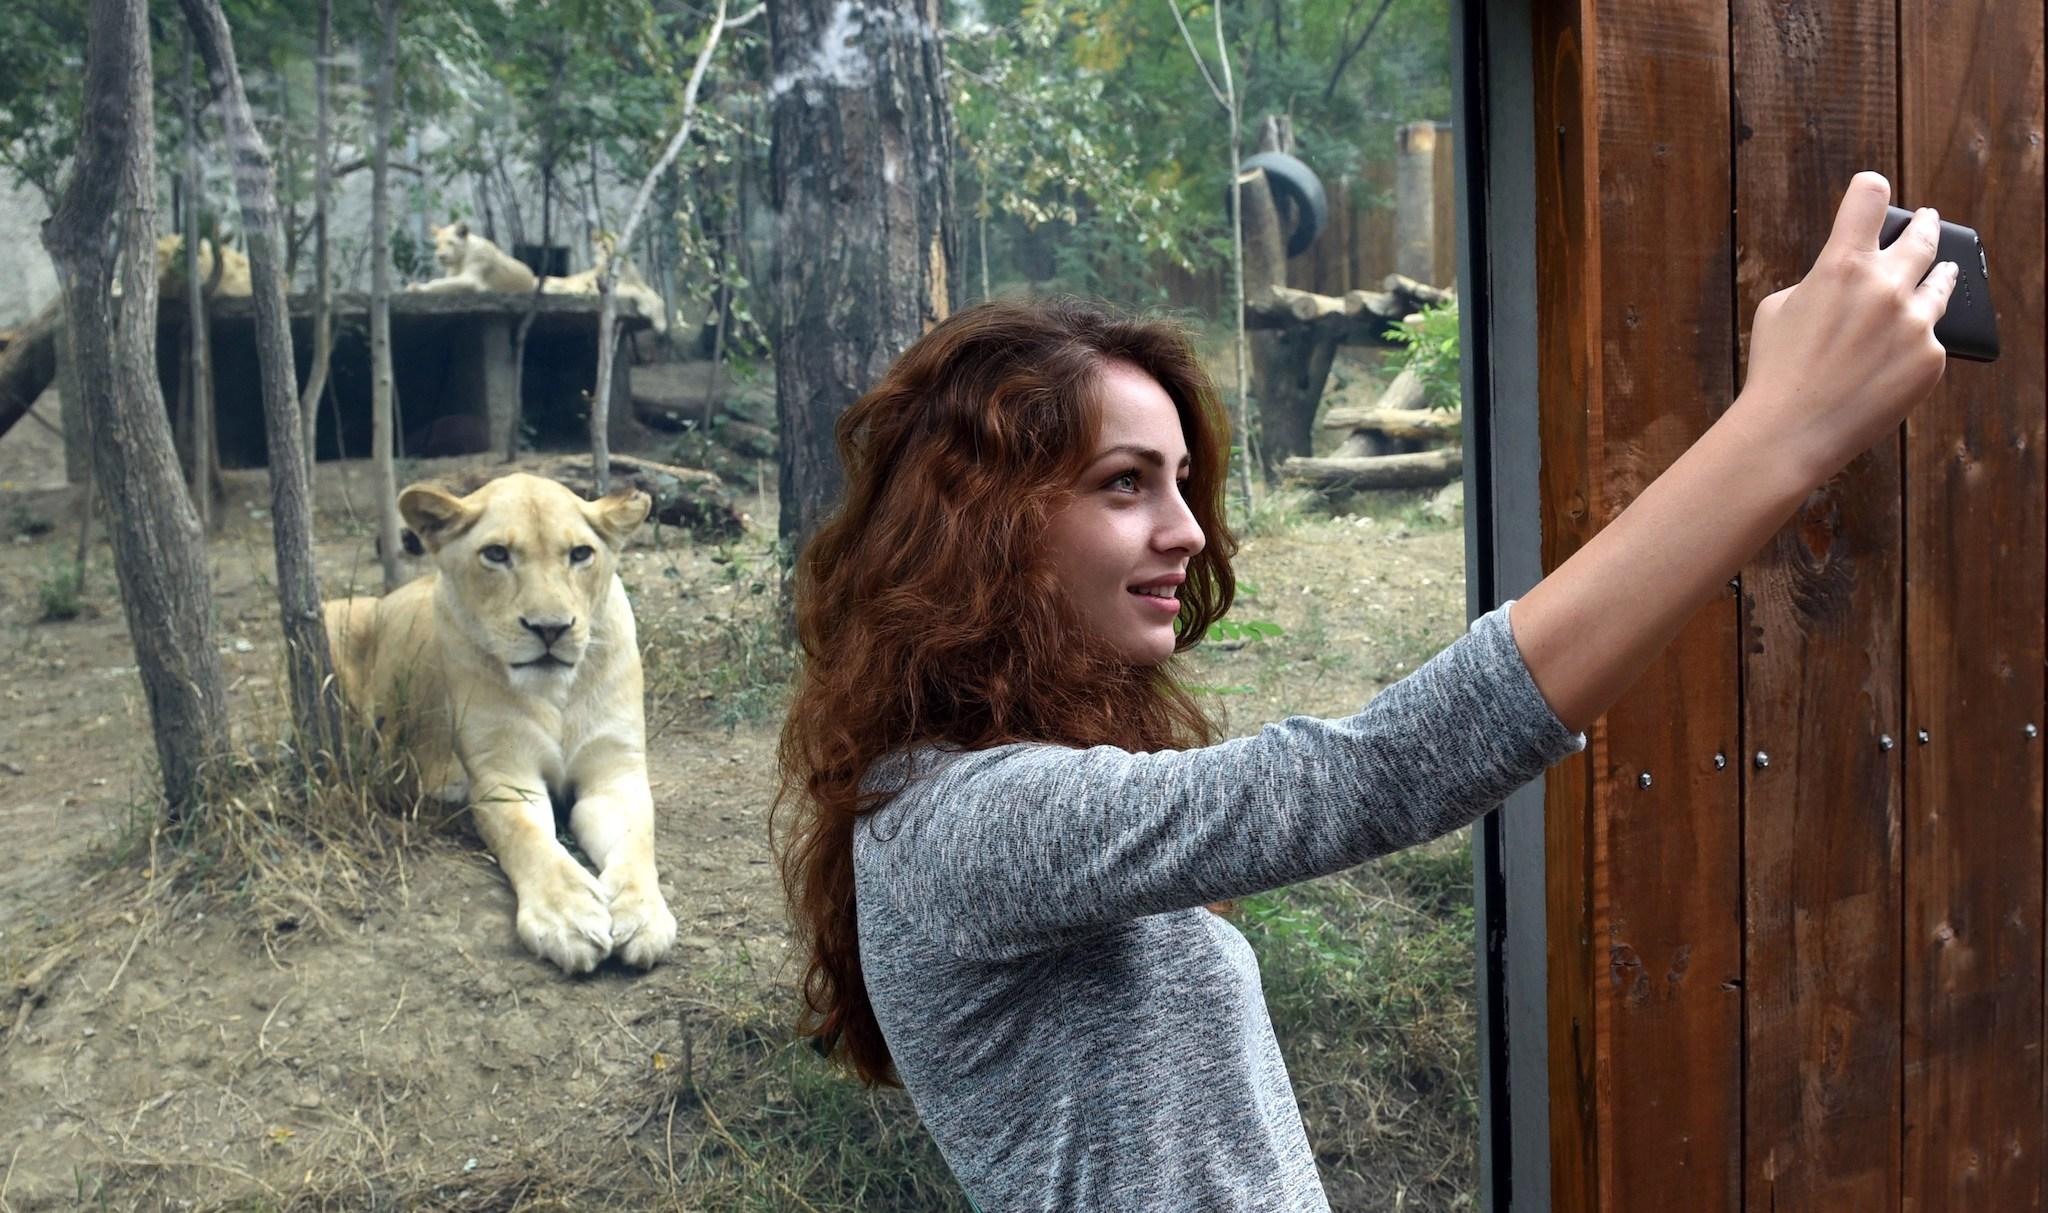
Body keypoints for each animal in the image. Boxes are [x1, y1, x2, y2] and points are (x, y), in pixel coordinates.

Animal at [325, 473, 679, 975]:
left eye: (580, 554)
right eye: (496, 554)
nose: (550, 628)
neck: (556, 694)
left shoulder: (615, 773)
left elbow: (637, 840)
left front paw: (643, 917)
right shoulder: (503, 775)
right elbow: (527, 837)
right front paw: (568, 918)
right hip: (334, 614)